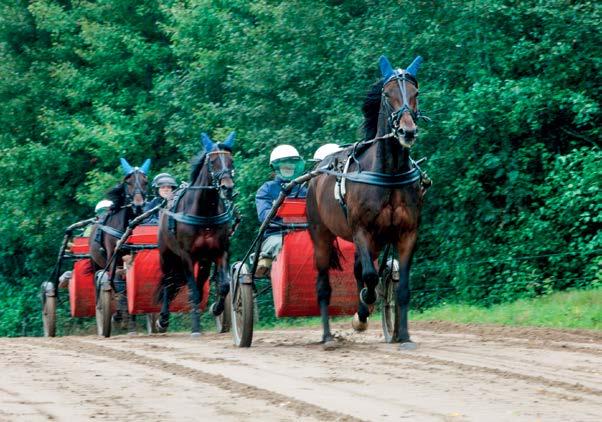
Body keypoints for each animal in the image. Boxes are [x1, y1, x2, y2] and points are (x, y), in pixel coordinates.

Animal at [155, 132, 234, 336]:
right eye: (213, 161)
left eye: (231, 160)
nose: (227, 188)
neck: (205, 213)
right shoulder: (187, 256)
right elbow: (192, 290)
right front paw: (196, 328)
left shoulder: (220, 251)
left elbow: (224, 285)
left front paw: (216, 308)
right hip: (167, 256)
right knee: (167, 283)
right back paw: (163, 319)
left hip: (204, 260)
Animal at [308, 54, 424, 348]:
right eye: (387, 94)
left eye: (415, 93)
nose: (407, 131)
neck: (389, 174)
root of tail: (319, 169)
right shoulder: (361, 230)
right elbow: (370, 276)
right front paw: (365, 306)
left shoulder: (407, 233)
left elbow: (402, 286)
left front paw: (404, 336)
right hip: (320, 233)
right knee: (324, 285)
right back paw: (327, 336)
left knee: (360, 268)